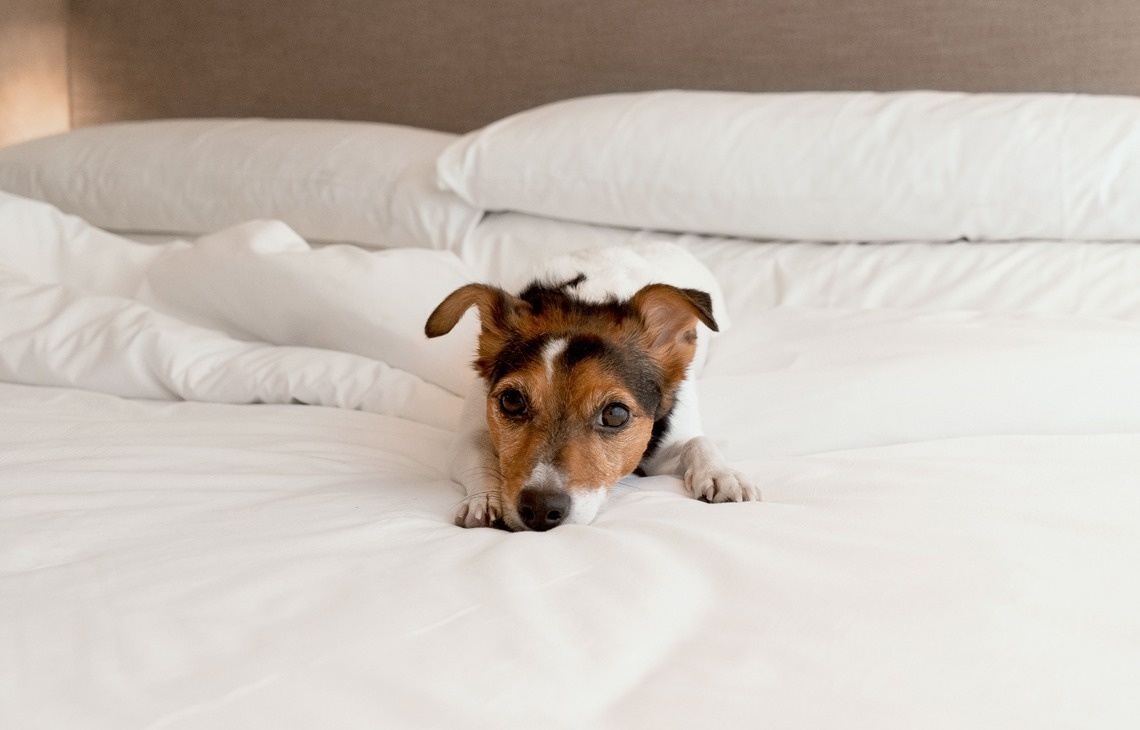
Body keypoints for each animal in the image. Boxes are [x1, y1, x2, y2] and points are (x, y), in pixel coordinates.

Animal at [424, 245, 761, 529]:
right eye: (512, 401)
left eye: (615, 414)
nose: (540, 510)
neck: (586, 299)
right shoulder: (466, 436)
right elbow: (480, 456)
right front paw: (484, 499)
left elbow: (697, 442)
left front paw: (721, 474)